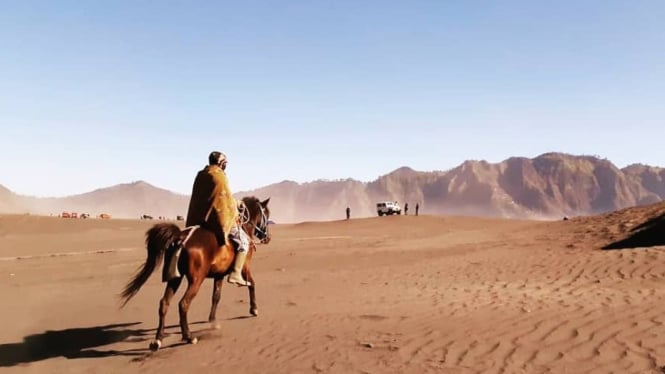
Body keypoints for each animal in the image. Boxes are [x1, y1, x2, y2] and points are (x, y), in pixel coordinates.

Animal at [117, 196, 270, 350]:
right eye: (267, 215)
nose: (267, 237)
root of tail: (181, 236)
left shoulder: (219, 275)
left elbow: (216, 296)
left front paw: (213, 320)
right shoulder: (245, 267)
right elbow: (252, 284)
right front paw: (254, 309)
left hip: (175, 278)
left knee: (164, 303)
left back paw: (158, 340)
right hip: (196, 280)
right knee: (183, 304)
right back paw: (188, 336)